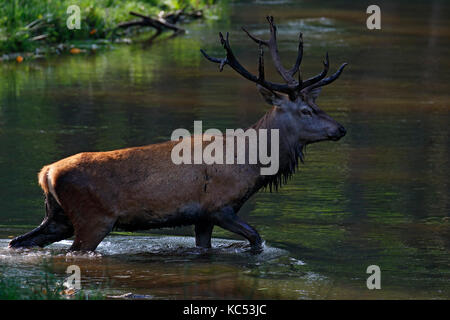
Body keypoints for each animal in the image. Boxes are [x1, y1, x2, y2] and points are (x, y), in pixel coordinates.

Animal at [9, 16, 348, 252]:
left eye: (317, 104)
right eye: (305, 110)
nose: (341, 129)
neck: (252, 166)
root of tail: (47, 172)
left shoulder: (203, 218)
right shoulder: (219, 207)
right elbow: (256, 239)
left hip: (58, 217)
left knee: (19, 241)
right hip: (93, 218)